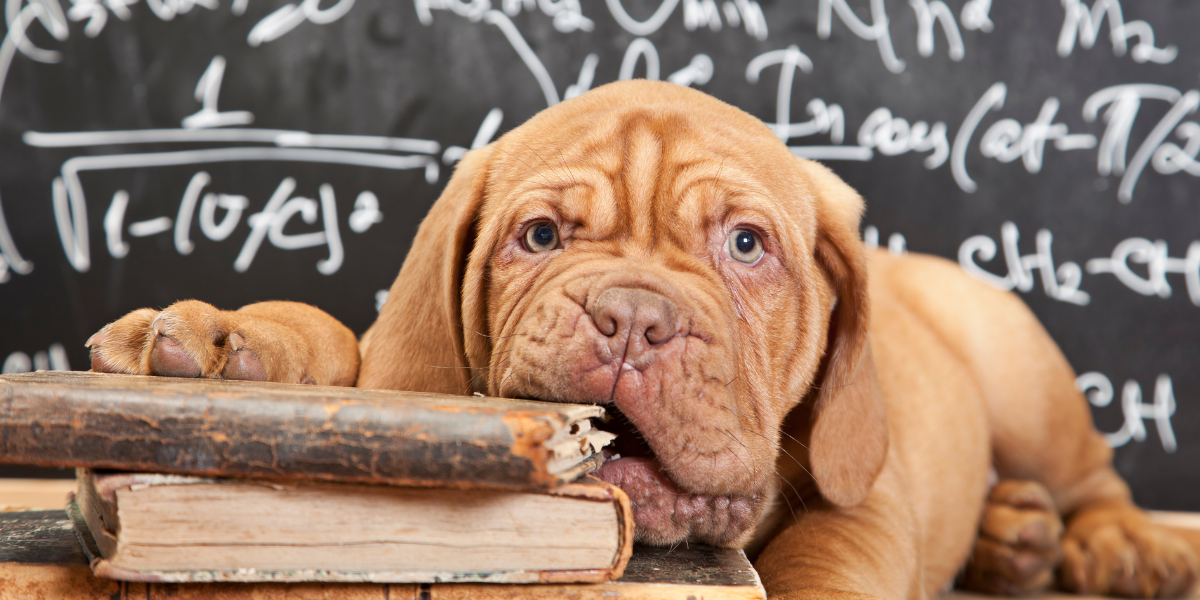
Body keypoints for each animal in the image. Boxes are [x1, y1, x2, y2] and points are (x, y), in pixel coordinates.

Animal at [88, 81, 1195, 600]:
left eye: (746, 244)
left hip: (1018, 365)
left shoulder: (865, 490)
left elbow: (836, 549)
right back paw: (1015, 537)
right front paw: (214, 341)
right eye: (541, 237)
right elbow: (331, 340)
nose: (631, 318)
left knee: (1093, 477)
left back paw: (1111, 544)